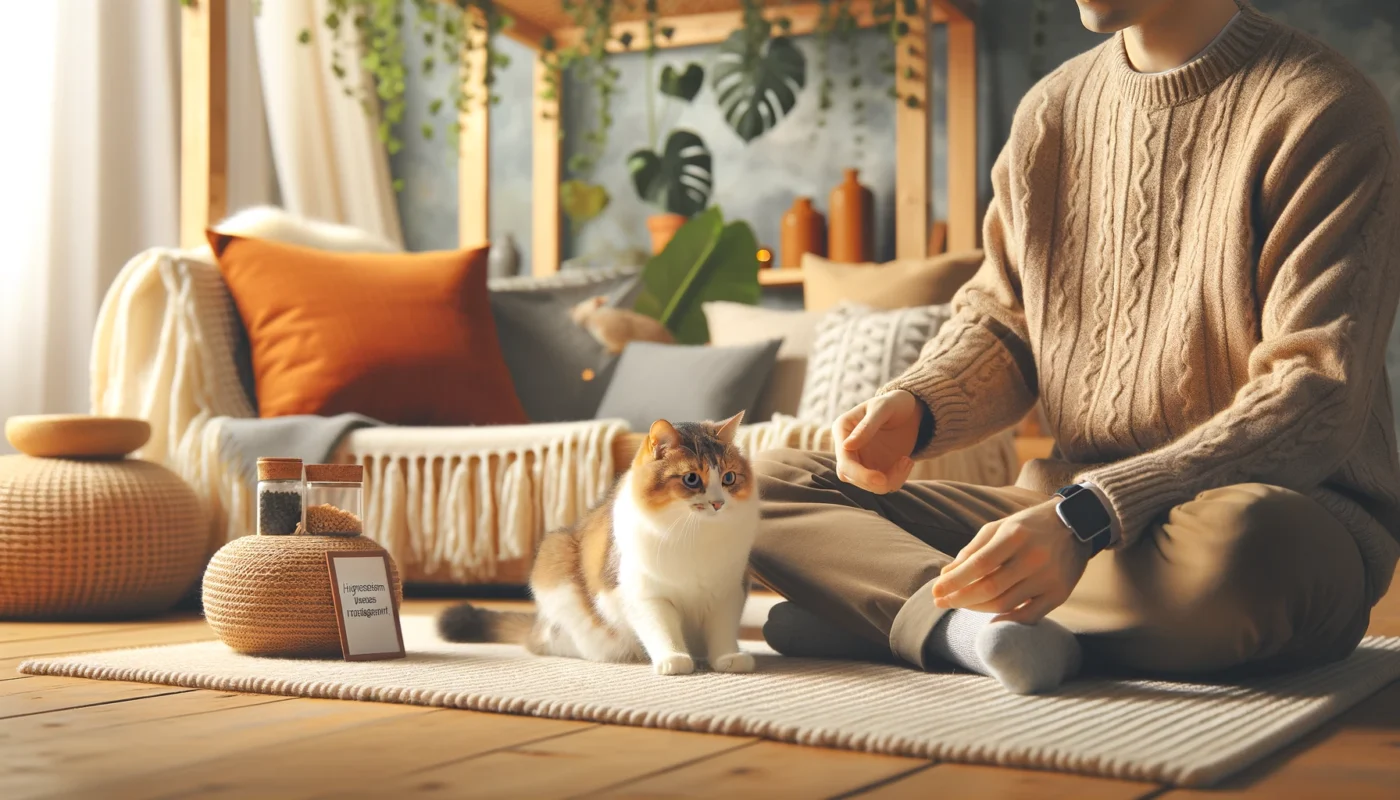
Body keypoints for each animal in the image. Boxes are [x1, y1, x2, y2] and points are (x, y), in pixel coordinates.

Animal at [442, 411, 761, 675]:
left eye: (729, 478)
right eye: (692, 479)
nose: (718, 503)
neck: (696, 536)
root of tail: (537, 627)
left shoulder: (727, 592)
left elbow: (722, 632)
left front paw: (728, 659)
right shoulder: (645, 594)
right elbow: (662, 629)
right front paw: (673, 659)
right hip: (557, 564)